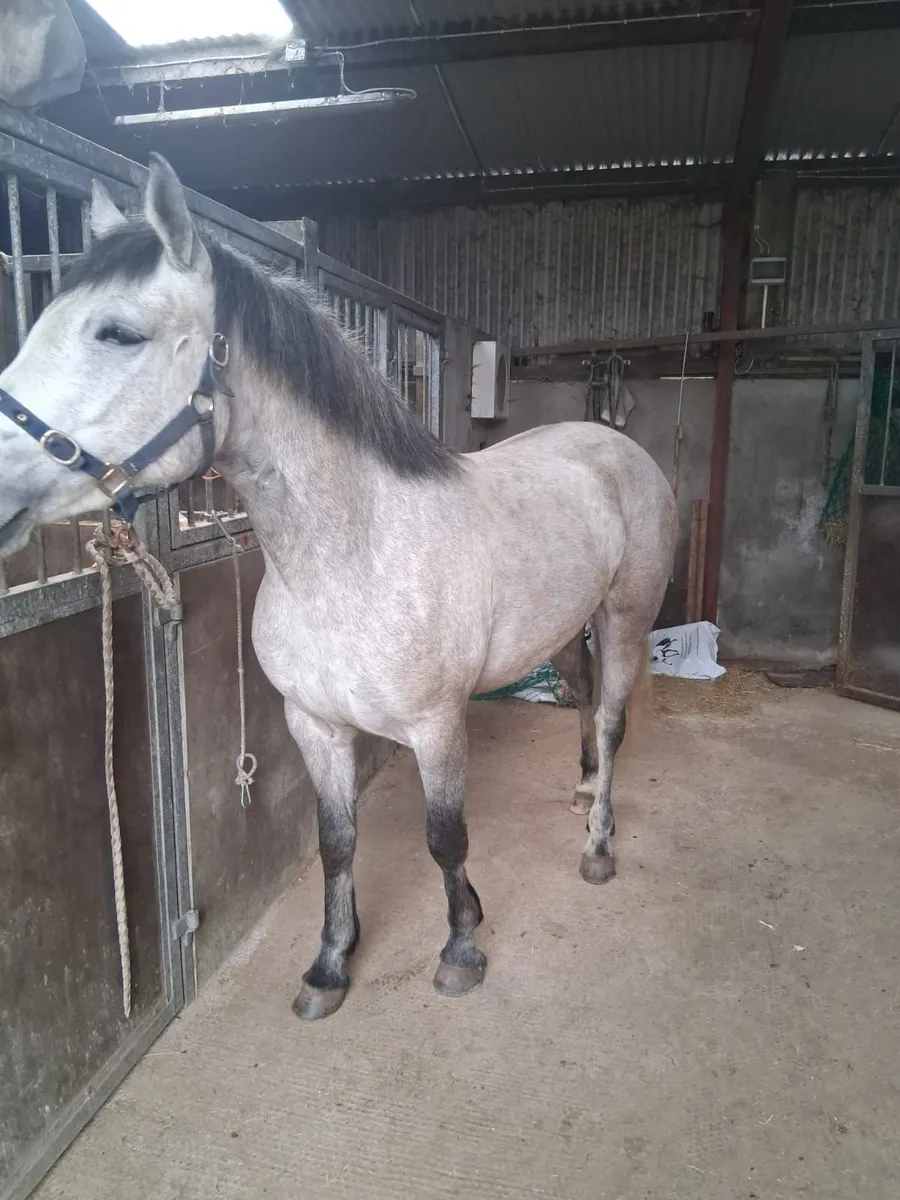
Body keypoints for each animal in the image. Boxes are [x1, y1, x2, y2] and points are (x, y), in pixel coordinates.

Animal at [0, 155, 677, 1020]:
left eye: (117, 332)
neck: (352, 559)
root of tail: (614, 445)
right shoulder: (314, 725)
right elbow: (337, 842)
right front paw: (329, 964)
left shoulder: (437, 727)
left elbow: (445, 838)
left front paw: (461, 949)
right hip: (566, 626)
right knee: (586, 704)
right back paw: (584, 790)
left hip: (625, 617)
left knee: (615, 720)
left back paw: (598, 845)